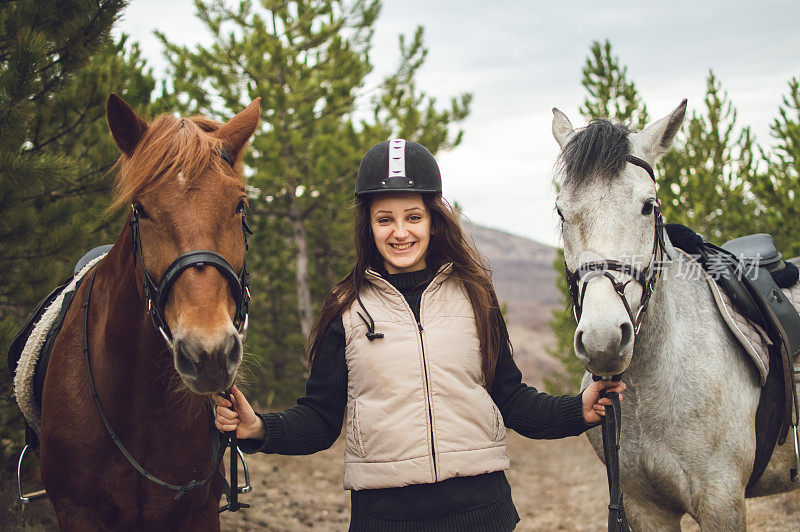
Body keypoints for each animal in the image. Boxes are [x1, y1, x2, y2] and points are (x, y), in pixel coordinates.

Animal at [38, 93, 260, 528]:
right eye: (140, 209)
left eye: (240, 206)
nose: (208, 353)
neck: (142, 408)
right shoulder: (77, 512)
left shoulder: (200, 512)